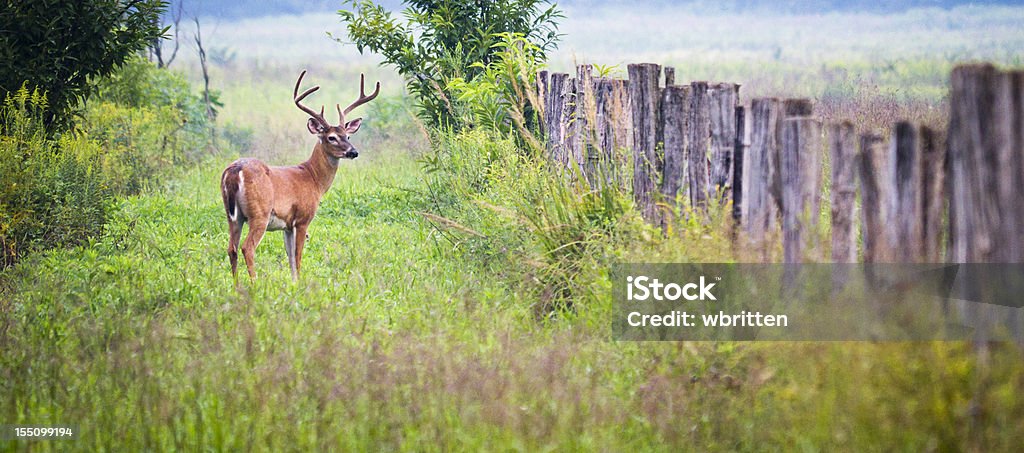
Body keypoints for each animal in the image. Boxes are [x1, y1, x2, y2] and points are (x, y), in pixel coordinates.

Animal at [220, 69, 380, 280]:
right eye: (331, 137)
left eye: (348, 135)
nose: (353, 152)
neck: (313, 179)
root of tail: (234, 170)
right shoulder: (303, 218)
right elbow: (298, 256)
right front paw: (301, 283)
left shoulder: (287, 224)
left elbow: (290, 258)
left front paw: (294, 283)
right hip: (259, 213)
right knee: (248, 248)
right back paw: (254, 283)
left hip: (232, 215)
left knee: (232, 248)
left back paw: (237, 284)